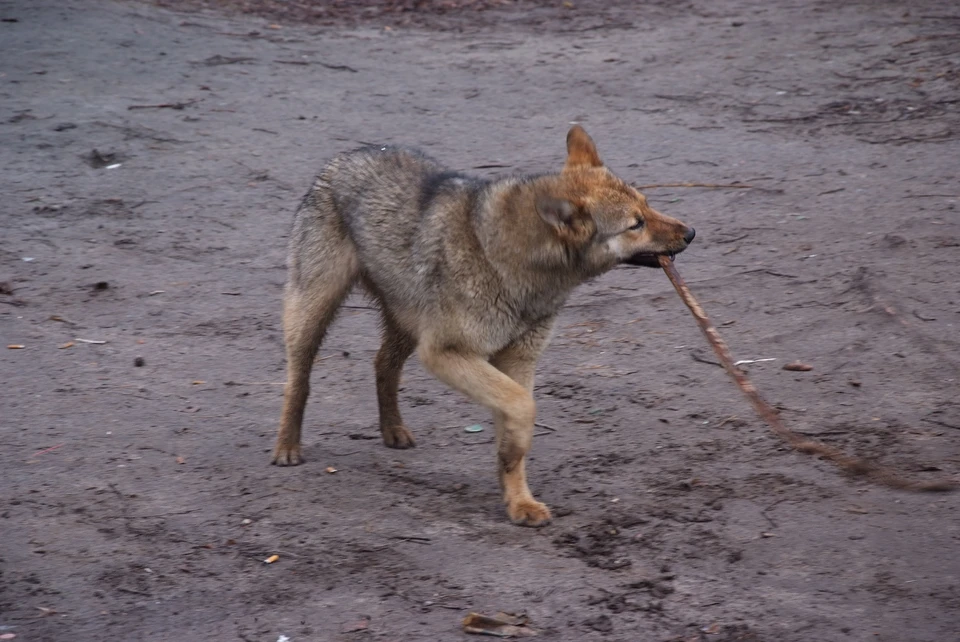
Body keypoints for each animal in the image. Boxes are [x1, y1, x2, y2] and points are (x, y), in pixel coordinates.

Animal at [274, 125, 692, 524]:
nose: (691, 233)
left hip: (407, 326)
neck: (505, 258)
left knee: (382, 365)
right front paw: (513, 454)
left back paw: (392, 430)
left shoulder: (516, 361)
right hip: (314, 317)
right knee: (298, 381)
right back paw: (286, 447)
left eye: (647, 205)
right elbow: (523, 406)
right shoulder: (445, 354)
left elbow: (514, 423)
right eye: (636, 224)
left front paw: (518, 499)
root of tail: (346, 156)